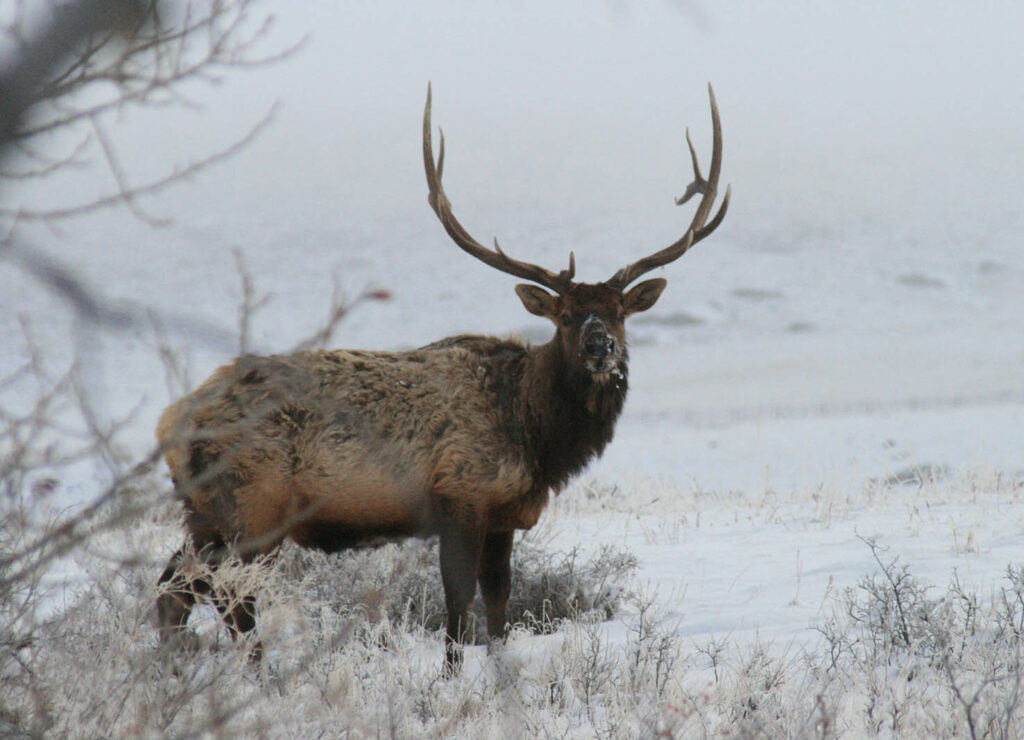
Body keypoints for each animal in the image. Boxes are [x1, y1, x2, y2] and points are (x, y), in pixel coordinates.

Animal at [153, 80, 729, 671]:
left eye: (619, 312)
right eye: (566, 316)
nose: (600, 348)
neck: (536, 434)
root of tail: (171, 421)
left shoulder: (503, 515)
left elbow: (498, 601)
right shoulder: (459, 496)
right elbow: (455, 605)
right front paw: (451, 675)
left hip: (203, 512)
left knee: (173, 588)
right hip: (254, 505)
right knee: (229, 593)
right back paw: (256, 671)